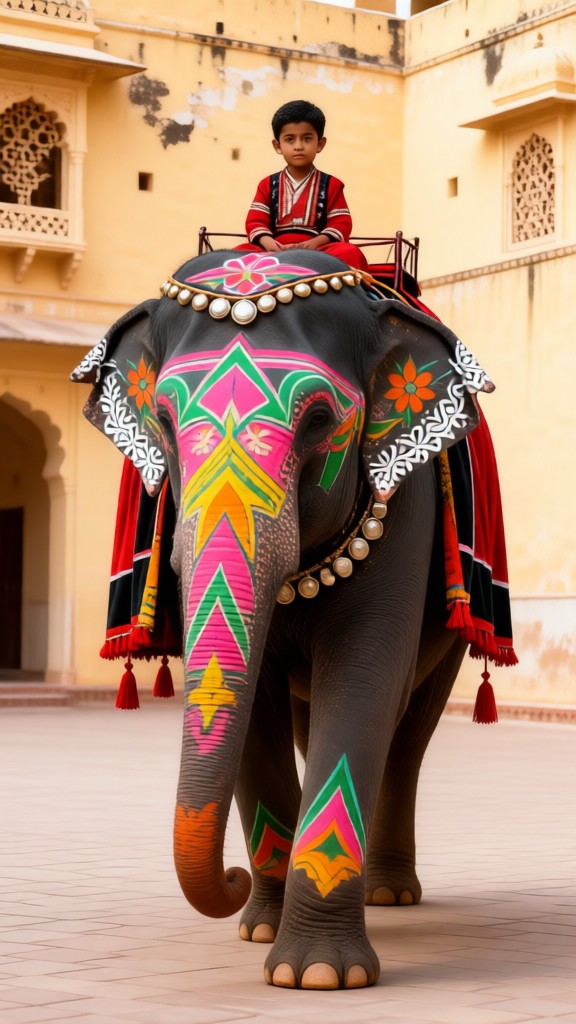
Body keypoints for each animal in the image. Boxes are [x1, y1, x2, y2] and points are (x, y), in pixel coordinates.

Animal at [71, 248, 496, 990]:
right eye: (163, 420)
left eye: (320, 419)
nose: (232, 879)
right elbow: (257, 704)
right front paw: (261, 932)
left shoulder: (403, 507)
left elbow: (363, 678)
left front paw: (318, 976)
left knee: (408, 734)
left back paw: (390, 894)